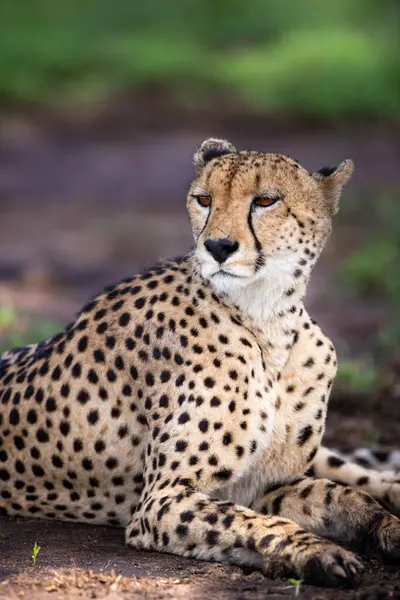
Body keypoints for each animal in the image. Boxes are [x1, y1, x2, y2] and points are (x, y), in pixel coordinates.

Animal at [0, 138, 400, 588]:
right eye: (204, 200)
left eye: (265, 201)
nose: (218, 246)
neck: (269, 320)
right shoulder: (164, 501)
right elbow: (253, 521)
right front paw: (314, 552)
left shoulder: (268, 484)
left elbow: (342, 494)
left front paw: (387, 527)